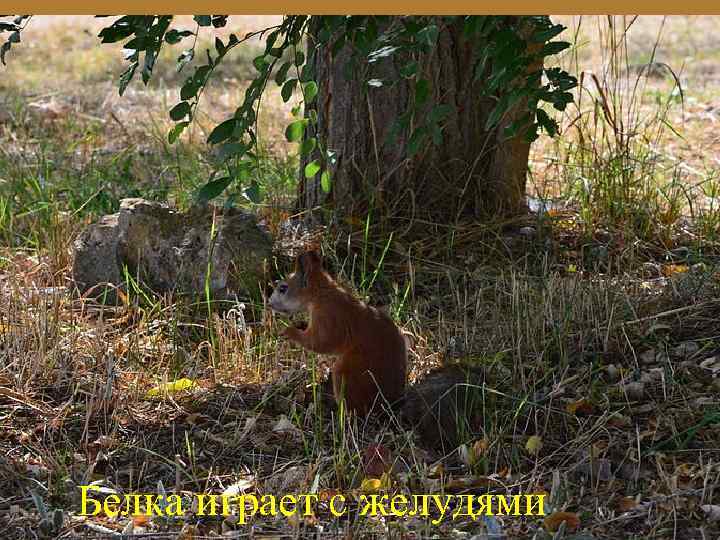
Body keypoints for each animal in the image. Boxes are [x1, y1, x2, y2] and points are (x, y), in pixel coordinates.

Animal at [269, 250, 482, 450]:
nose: (270, 304)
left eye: (283, 288)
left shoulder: (331, 319)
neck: (322, 293)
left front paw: (290, 332)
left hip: (348, 375)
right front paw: (299, 324)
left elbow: (321, 343)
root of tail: (390, 404)